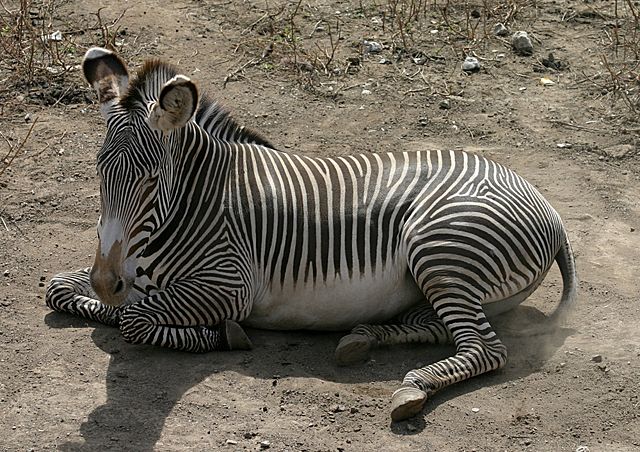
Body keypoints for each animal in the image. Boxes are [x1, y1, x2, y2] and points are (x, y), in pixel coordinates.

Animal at [45, 47, 576, 422]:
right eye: (99, 171)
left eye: (151, 181)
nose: (106, 283)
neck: (195, 200)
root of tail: (541, 201)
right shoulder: (124, 270)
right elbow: (57, 289)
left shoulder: (229, 285)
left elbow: (134, 320)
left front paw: (221, 335)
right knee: (440, 327)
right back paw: (364, 338)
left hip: (441, 250)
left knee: (486, 349)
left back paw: (413, 387)